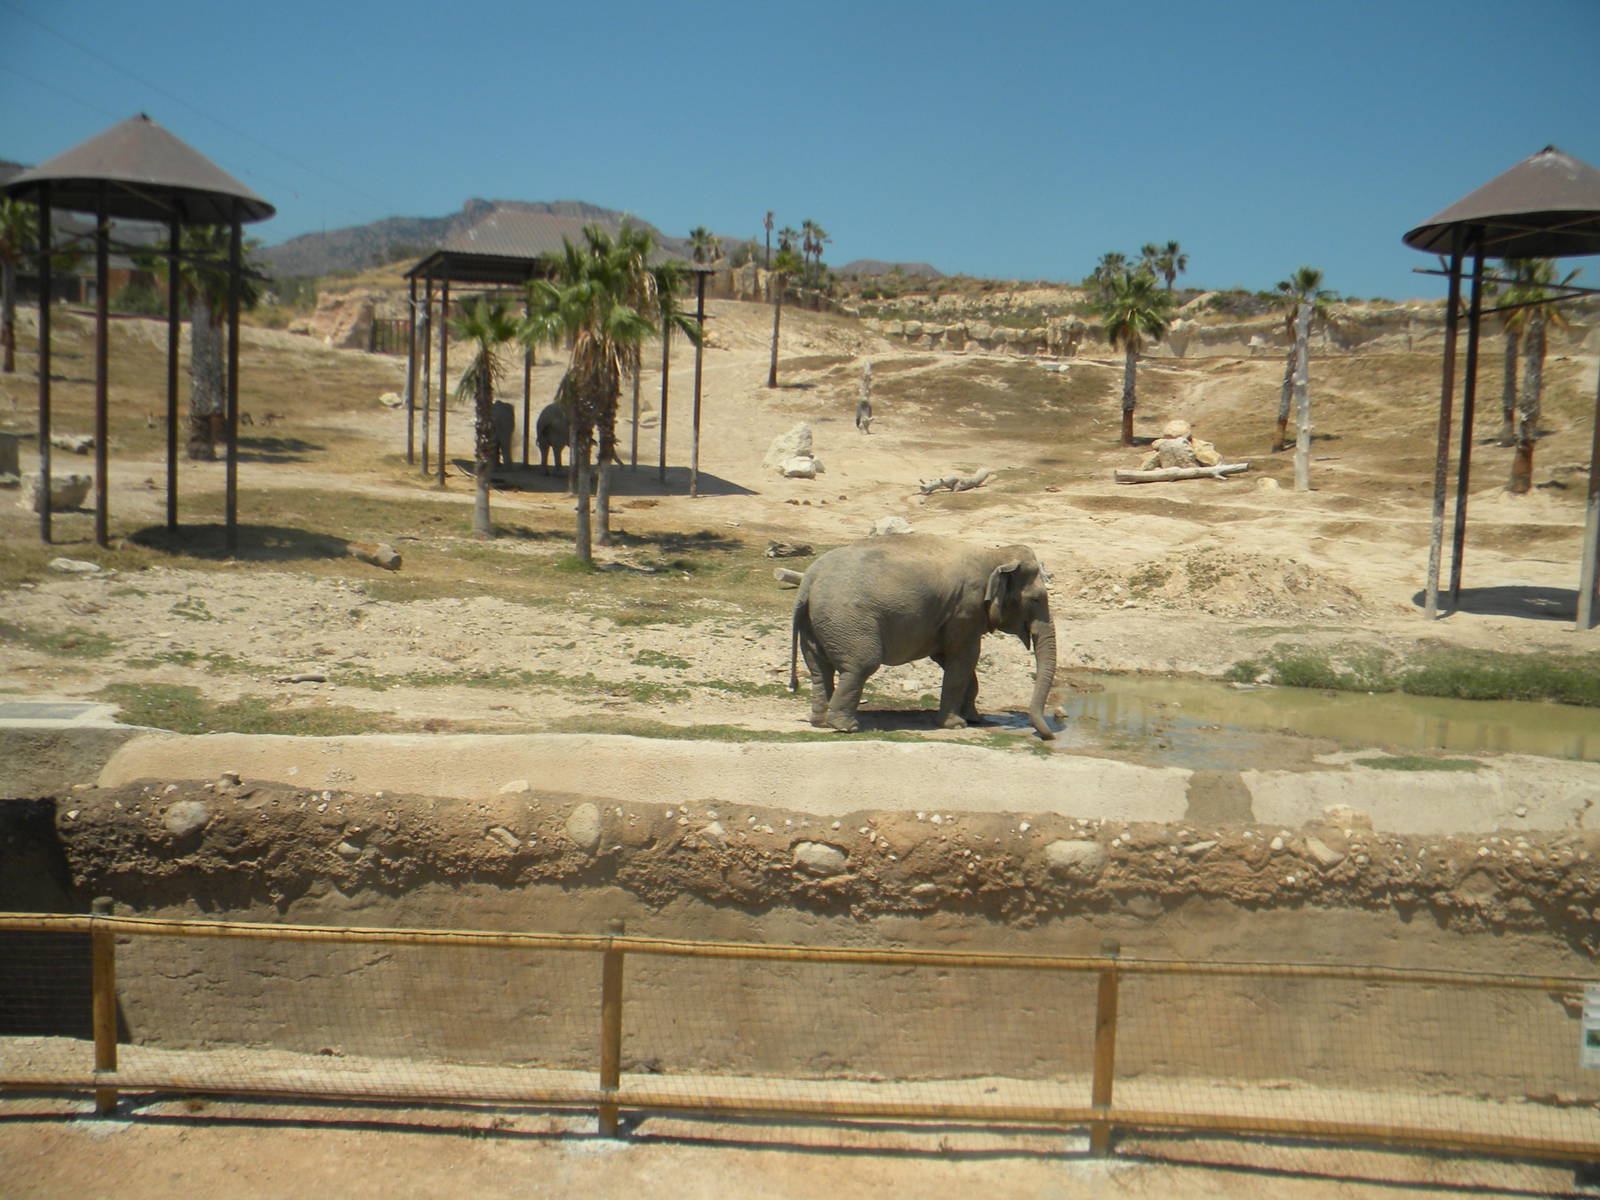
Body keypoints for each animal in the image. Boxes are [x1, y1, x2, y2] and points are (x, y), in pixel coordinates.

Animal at [789, 534, 1057, 739]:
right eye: (1036, 599)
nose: (1048, 736)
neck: (993, 555)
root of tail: (809, 581)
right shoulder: (965, 610)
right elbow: (963, 658)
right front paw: (956, 725)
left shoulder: (947, 617)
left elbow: (950, 659)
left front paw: (974, 718)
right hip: (846, 620)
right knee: (860, 665)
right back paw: (847, 727)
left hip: (816, 624)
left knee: (819, 669)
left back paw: (820, 721)